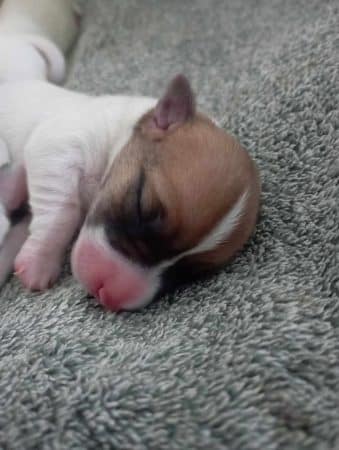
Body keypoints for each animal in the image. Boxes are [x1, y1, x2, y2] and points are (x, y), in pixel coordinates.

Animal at [0, 75, 260, 312]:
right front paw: (39, 263)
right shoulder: (58, 145)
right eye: (141, 206)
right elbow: (63, 212)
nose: (108, 296)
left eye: (189, 272)